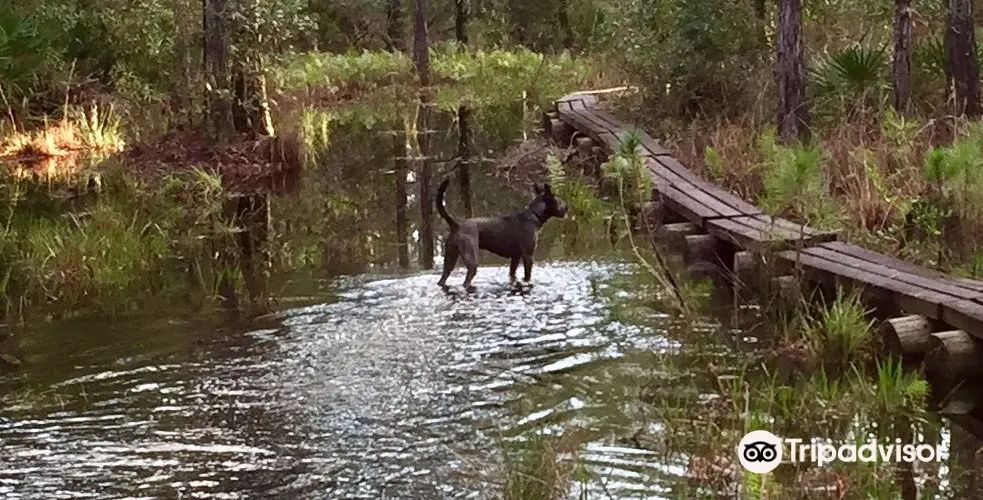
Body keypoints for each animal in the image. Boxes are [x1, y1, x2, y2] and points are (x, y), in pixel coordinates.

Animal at [436, 177, 568, 291]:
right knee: (466, 280)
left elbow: (512, 274)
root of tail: (456, 225)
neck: (534, 215)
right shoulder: (528, 255)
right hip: (471, 258)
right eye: (559, 200)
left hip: (450, 257)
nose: (567, 207)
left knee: (443, 278)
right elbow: (527, 276)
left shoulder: (516, 257)